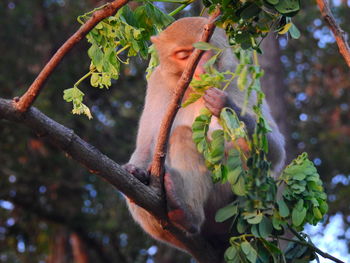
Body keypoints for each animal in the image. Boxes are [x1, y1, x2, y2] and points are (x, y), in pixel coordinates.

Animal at [121, 16, 286, 252]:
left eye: (203, 52)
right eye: (184, 55)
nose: (198, 70)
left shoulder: (238, 77)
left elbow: (274, 152)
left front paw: (224, 104)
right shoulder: (157, 83)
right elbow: (146, 145)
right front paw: (138, 172)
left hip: (228, 203)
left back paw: (185, 212)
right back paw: (180, 209)